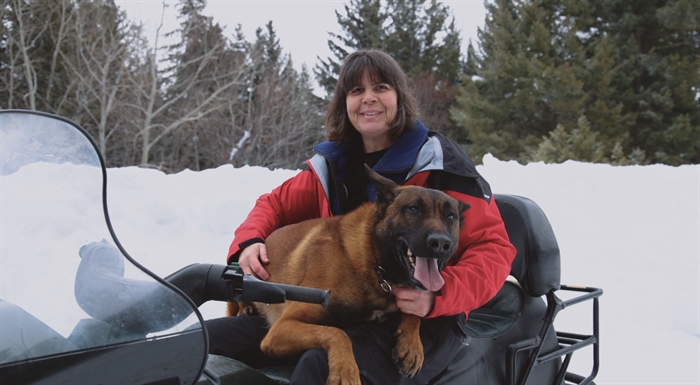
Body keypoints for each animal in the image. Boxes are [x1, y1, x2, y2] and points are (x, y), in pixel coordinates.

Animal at [228, 166, 470, 384]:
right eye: (413, 209)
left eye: (450, 216)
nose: (440, 244)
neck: (374, 264)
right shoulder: (281, 328)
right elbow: (338, 333)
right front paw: (345, 370)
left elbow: (413, 311)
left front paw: (412, 344)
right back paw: (245, 307)